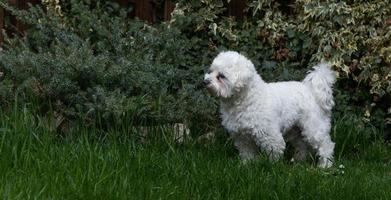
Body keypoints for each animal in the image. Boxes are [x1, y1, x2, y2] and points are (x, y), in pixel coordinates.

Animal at [205, 50, 336, 167]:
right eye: (211, 72)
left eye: (221, 76)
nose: (205, 81)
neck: (245, 100)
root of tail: (310, 90)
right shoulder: (242, 137)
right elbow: (247, 153)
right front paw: (246, 165)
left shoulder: (270, 135)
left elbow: (274, 152)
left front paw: (273, 166)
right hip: (295, 129)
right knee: (302, 145)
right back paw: (299, 161)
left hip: (314, 127)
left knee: (326, 145)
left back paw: (325, 165)